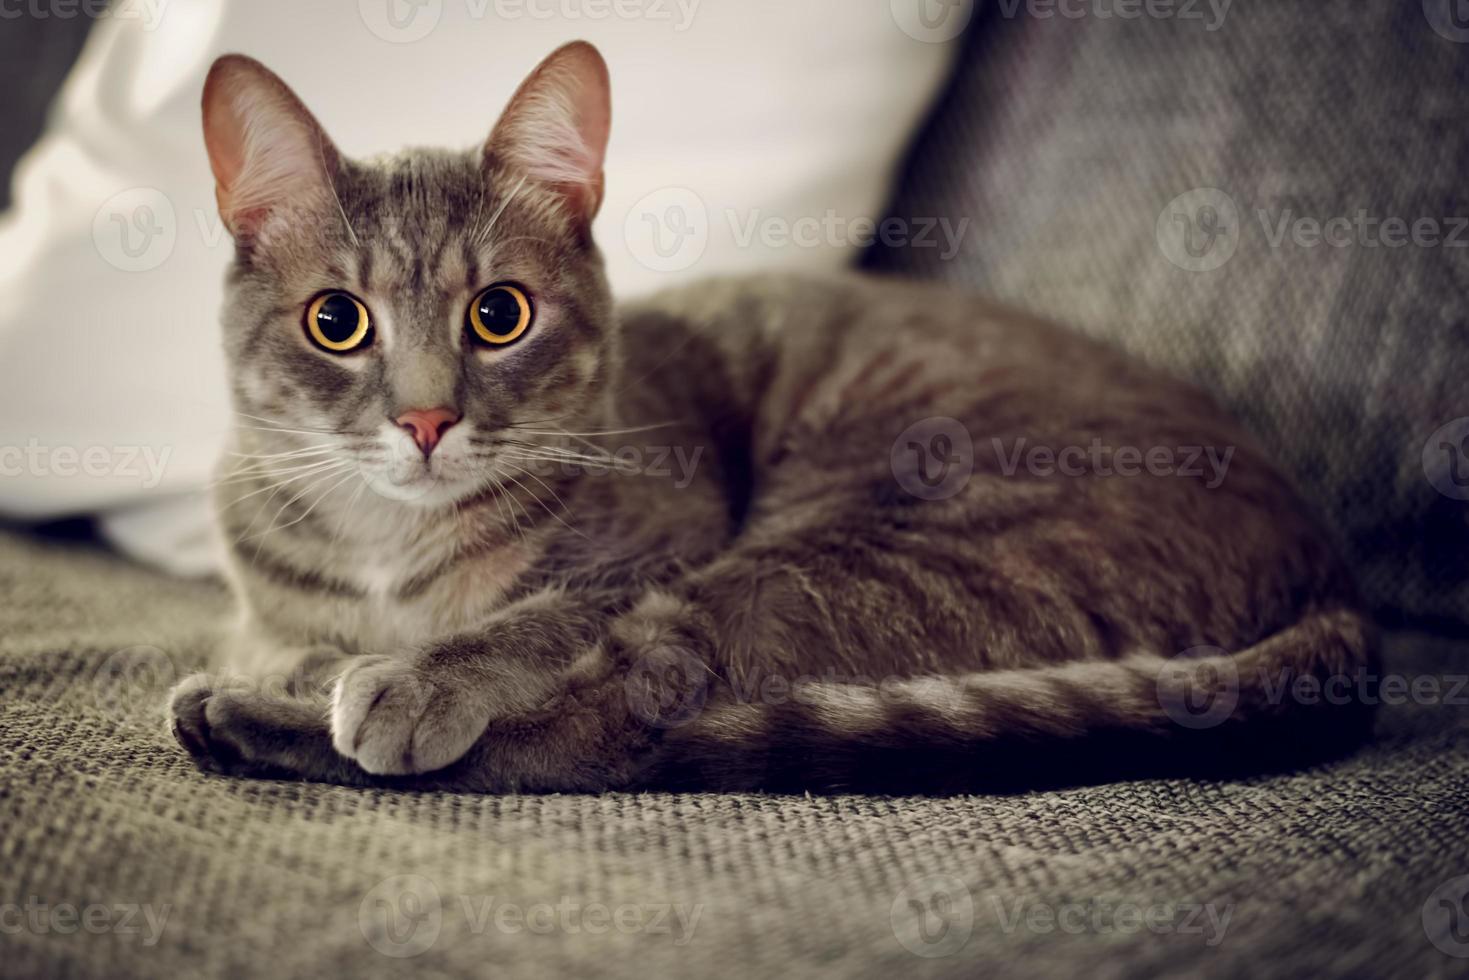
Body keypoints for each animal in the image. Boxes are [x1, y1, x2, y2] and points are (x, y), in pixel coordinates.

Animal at [168, 40, 1374, 799]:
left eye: (498, 314)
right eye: (336, 321)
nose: (425, 418)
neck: (388, 555)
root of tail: (1330, 568)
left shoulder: (659, 545)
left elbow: (534, 621)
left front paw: (396, 676)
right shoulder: (266, 603)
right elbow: (284, 634)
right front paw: (302, 663)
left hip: (851, 547)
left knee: (617, 729)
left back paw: (243, 720)